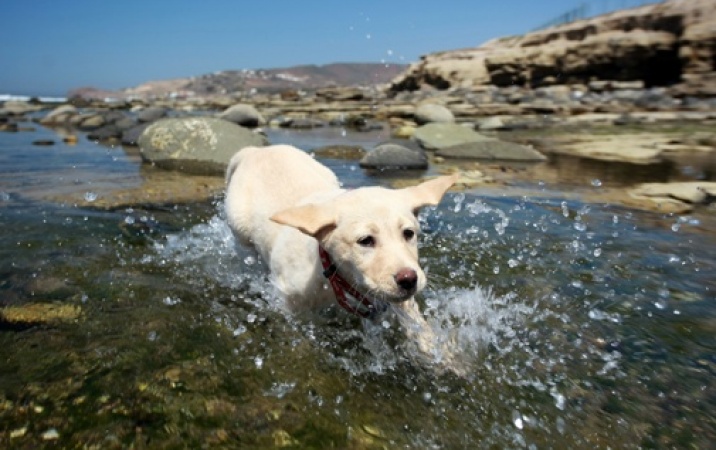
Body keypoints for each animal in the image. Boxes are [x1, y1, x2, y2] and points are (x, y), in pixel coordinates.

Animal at [224, 144, 458, 370]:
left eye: (409, 233)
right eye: (365, 240)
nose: (409, 280)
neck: (332, 273)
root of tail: (256, 151)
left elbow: (418, 325)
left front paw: (444, 359)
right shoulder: (288, 302)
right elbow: (294, 332)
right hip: (240, 229)